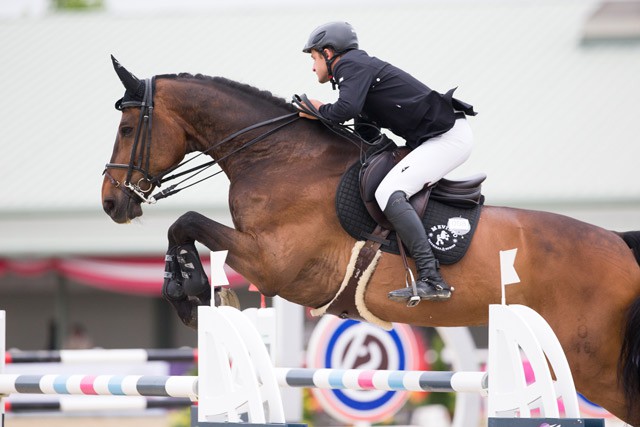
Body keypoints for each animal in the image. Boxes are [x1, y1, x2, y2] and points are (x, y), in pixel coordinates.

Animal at [101, 58, 640, 426]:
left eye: (127, 128)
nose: (111, 203)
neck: (277, 155)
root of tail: (619, 244)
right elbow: (184, 229)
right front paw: (188, 292)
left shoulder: (275, 263)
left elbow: (185, 223)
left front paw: (188, 292)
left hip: (593, 364)